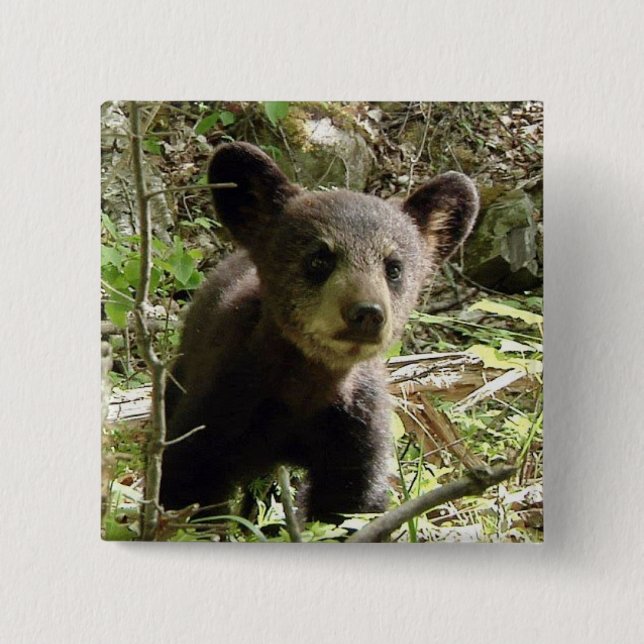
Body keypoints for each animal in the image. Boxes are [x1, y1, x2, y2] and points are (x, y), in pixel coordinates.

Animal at [159, 142, 479, 523]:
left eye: (394, 268)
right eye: (319, 259)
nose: (367, 313)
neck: (305, 388)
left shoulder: (356, 429)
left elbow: (352, 504)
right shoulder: (219, 401)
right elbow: (187, 481)